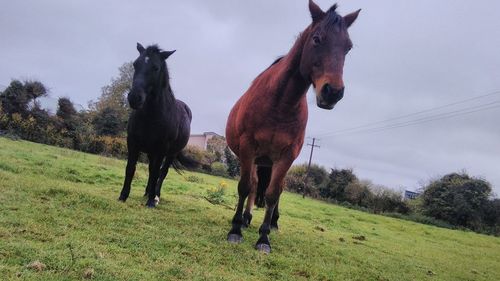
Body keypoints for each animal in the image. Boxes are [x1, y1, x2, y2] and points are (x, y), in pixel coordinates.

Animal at [118, 42, 194, 207]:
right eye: (135, 64)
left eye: (156, 68)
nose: (135, 98)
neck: (151, 116)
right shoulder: (132, 143)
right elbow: (130, 168)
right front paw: (123, 196)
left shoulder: (161, 149)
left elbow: (155, 173)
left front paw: (151, 202)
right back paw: (148, 193)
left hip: (170, 154)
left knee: (162, 172)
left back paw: (155, 195)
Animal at [226, 0, 360, 254]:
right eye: (317, 39)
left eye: (348, 47)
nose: (333, 92)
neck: (280, 103)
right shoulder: (248, 149)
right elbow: (245, 187)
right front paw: (235, 229)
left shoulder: (287, 155)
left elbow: (272, 194)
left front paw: (264, 238)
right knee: (254, 185)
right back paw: (246, 219)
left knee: (275, 190)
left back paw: (272, 223)